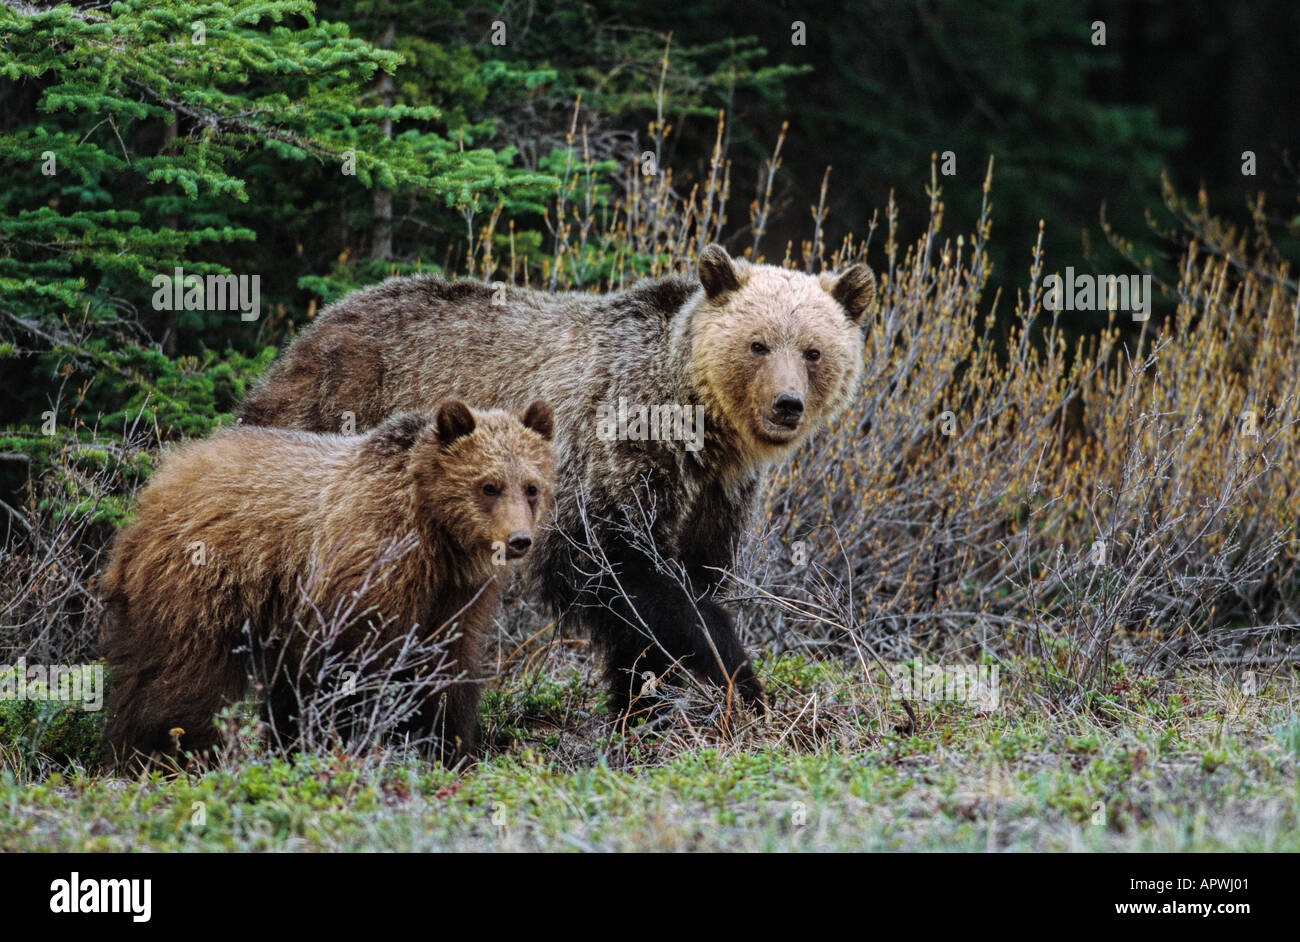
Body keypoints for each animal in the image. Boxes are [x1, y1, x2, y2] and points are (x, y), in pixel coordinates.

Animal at [100, 400, 555, 766]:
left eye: (532, 487)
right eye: (489, 486)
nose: (519, 539)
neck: (437, 534)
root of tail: (162, 478)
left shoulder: (455, 593)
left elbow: (446, 666)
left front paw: (449, 746)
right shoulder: (369, 568)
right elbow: (350, 663)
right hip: (202, 576)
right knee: (185, 669)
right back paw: (174, 751)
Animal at [239, 245, 875, 721]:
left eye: (813, 351)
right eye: (758, 344)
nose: (786, 404)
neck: (701, 428)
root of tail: (312, 330)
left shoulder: (714, 496)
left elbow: (679, 585)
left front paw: (641, 705)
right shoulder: (614, 449)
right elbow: (619, 570)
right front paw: (740, 677)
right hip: (337, 428)